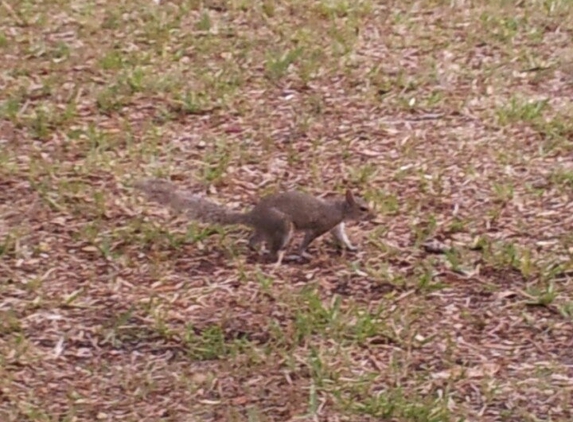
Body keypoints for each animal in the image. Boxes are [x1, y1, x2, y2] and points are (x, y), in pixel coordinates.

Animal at [135, 177, 376, 264]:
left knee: (253, 241)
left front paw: (352, 248)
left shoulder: (336, 226)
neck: (339, 209)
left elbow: (342, 237)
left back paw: (258, 250)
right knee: (273, 248)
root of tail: (253, 216)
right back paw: (282, 256)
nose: (375, 216)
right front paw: (303, 253)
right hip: (283, 226)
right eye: (363, 208)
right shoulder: (321, 225)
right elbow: (307, 239)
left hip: (268, 229)